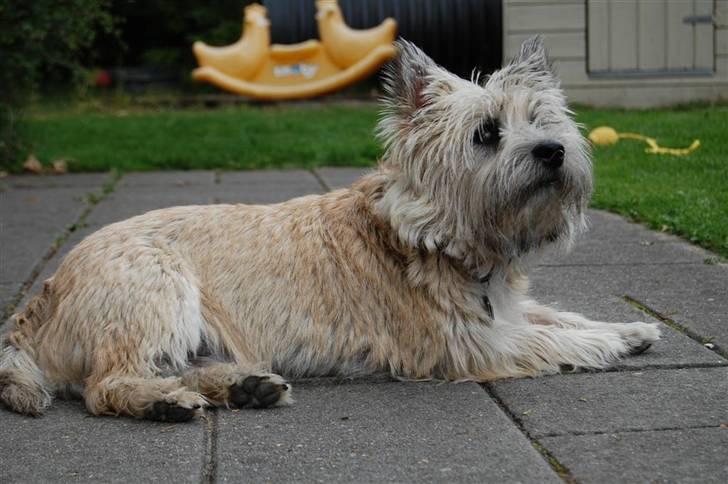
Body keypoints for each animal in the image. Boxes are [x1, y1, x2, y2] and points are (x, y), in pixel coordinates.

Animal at [0, 37, 660, 422]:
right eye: (486, 133)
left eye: (544, 121)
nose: (553, 151)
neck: (433, 234)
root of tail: (39, 301)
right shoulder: (468, 344)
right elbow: (549, 340)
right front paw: (604, 345)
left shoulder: (501, 313)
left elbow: (556, 316)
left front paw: (627, 329)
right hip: (157, 290)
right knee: (107, 385)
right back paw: (168, 404)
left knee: (169, 367)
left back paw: (245, 387)